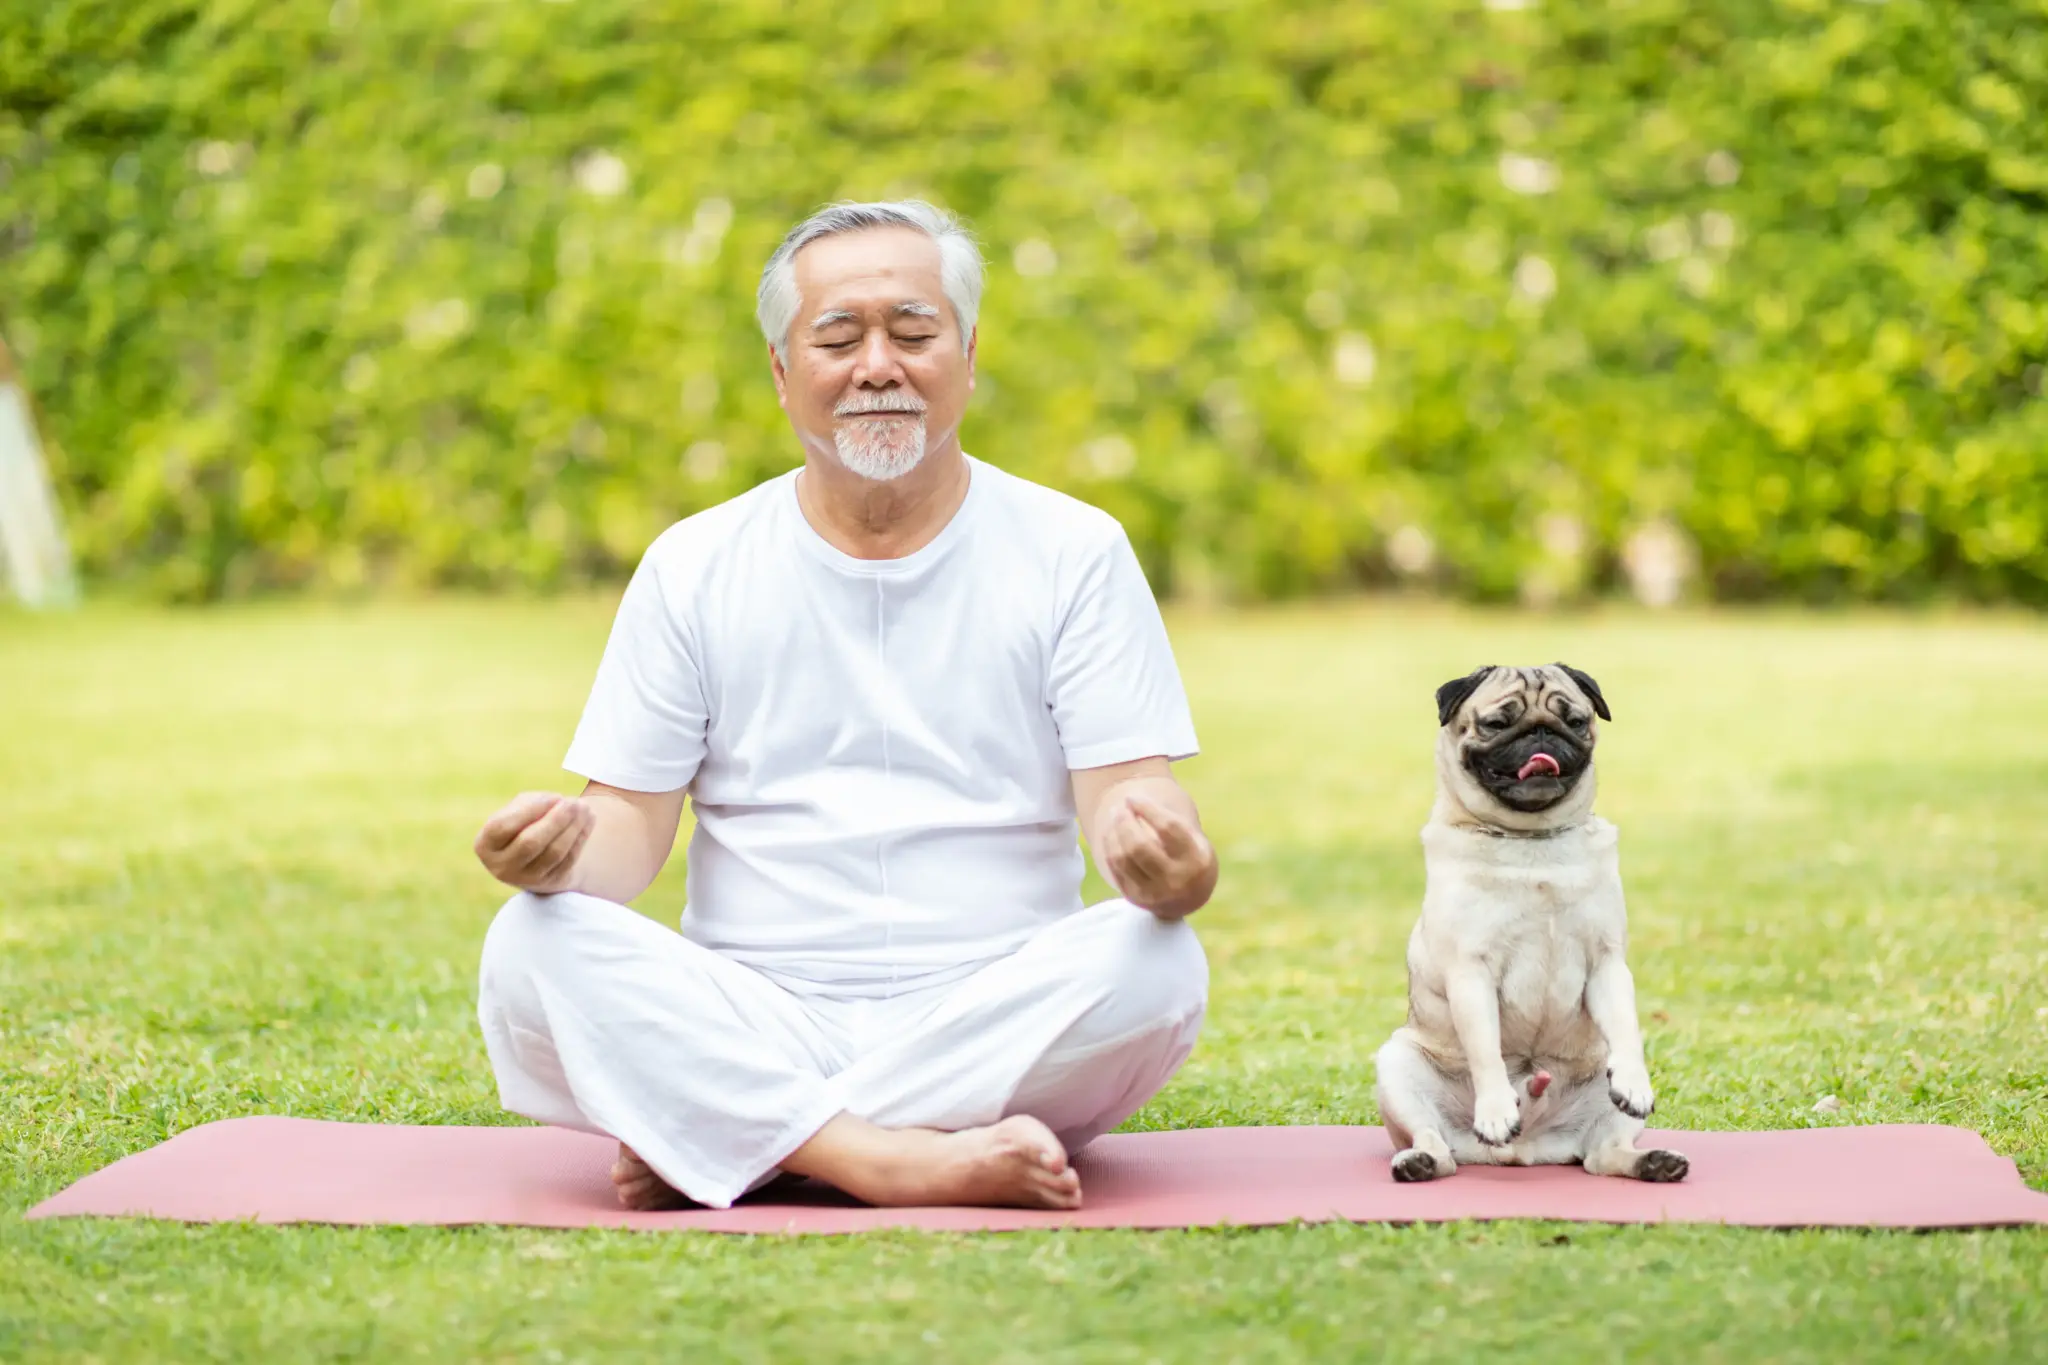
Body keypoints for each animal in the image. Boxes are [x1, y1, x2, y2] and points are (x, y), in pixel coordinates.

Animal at [1376, 667, 1679, 1178]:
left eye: (1574, 721)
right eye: (1498, 724)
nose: (1542, 733)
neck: (1531, 841)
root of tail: (1525, 1150)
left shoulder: (1607, 963)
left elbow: (1626, 1028)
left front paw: (1635, 1081)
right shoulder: (1470, 973)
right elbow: (1485, 1049)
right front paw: (1497, 1109)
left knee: (1601, 1156)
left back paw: (1654, 1162)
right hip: (1397, 1066)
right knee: (1437, 1146)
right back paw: (1421, 1161)